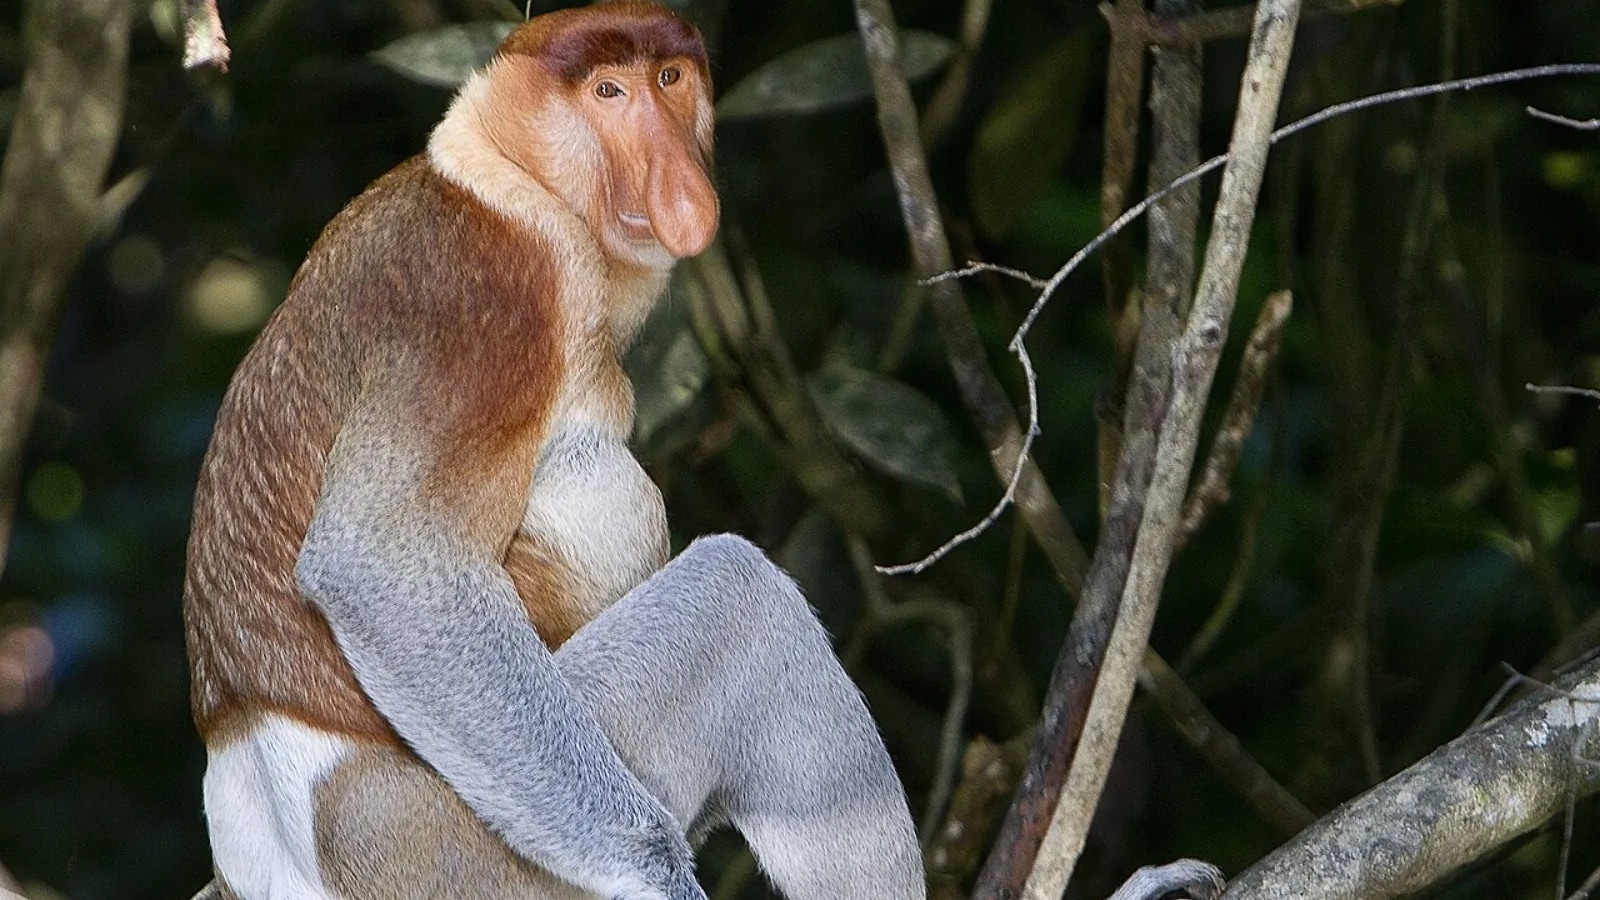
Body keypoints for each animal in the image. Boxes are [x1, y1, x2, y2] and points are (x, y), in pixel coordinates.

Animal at [180, 4, 925, 899]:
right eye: (608, 92)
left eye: (669, 80)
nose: (680, 186)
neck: (507, 175)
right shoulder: (494, 297)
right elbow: (378, 565)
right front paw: (660, 875)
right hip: (468, 847)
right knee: (740, 594)